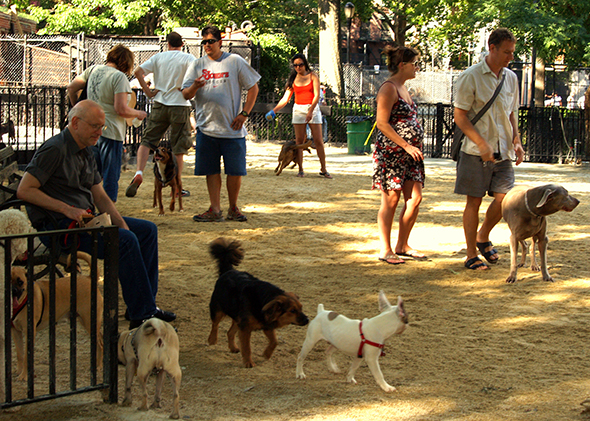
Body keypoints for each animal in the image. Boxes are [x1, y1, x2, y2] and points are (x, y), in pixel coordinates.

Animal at [208, 238, 310, 366]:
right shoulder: (246, 328)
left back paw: (233, 347)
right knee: (215, 325)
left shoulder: (266, 325)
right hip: (218, 310)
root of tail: (229, 271)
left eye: (301, 308)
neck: (263, 301)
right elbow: (247, 347)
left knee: (229, 332)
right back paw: (212, 340)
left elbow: (275, 341)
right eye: (292, 310)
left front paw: (266, 354)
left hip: (238, 318)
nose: (307, 320)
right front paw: (248, 363)